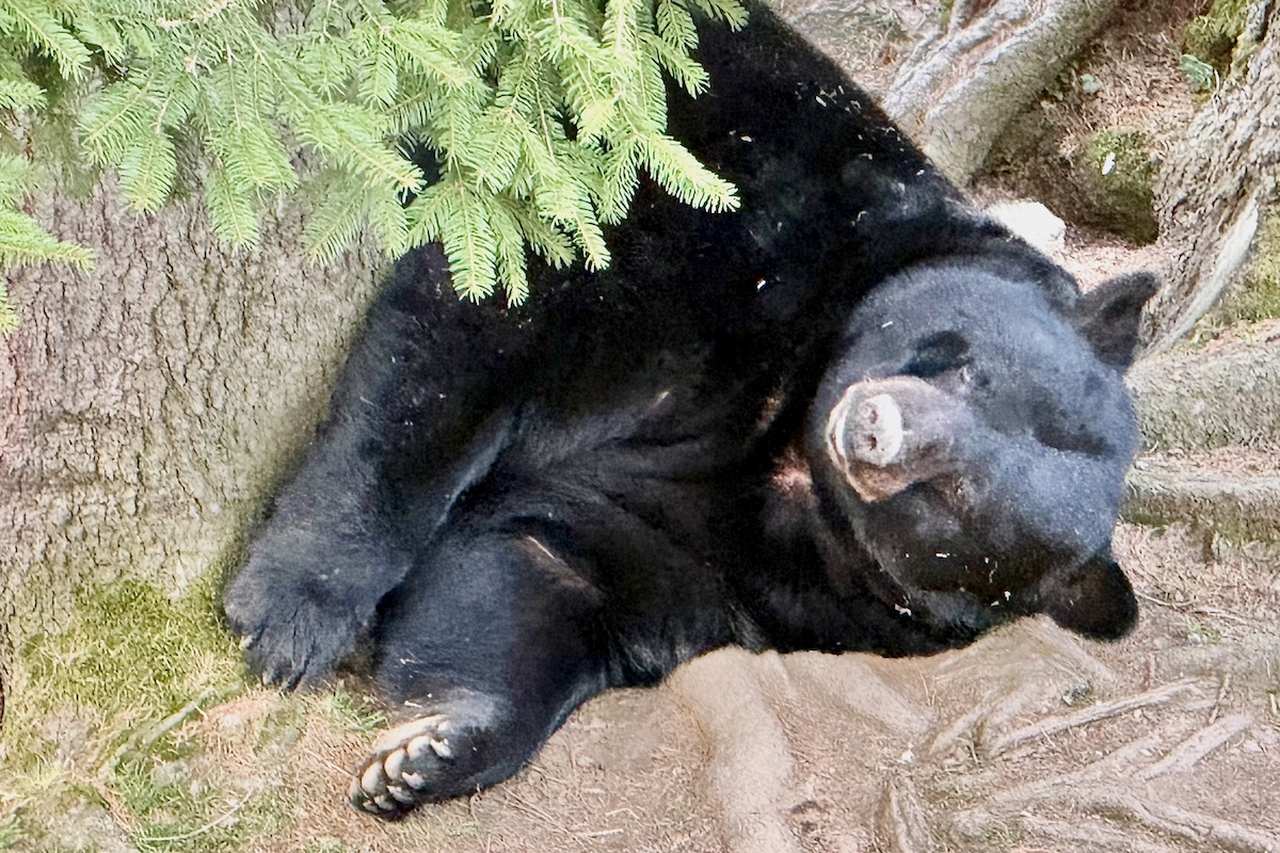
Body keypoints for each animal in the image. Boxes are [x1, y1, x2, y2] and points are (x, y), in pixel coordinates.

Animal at [223, 0, 1158, 818]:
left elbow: (543, 569)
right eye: (976, 373)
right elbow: (475, 322)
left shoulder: (735, 562)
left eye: (967, 502)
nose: (875, 430)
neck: (786, 436)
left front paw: (431, 752)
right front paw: (294, 612)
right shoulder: (739, 209)